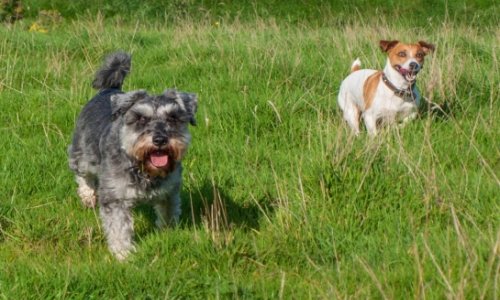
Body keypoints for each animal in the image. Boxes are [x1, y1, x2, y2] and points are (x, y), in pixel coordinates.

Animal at [68, 52, 197, 260]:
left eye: (173, 118)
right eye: (141, 118)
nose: (160, 139)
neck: (142, 168)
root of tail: (109, 90)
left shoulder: (169, 191)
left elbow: (168, 214)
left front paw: (168, 235)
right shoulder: (115, 199)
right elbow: (119, 229)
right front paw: (124, 254)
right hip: (82, 154)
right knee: (82, 174)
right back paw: (88, 196)